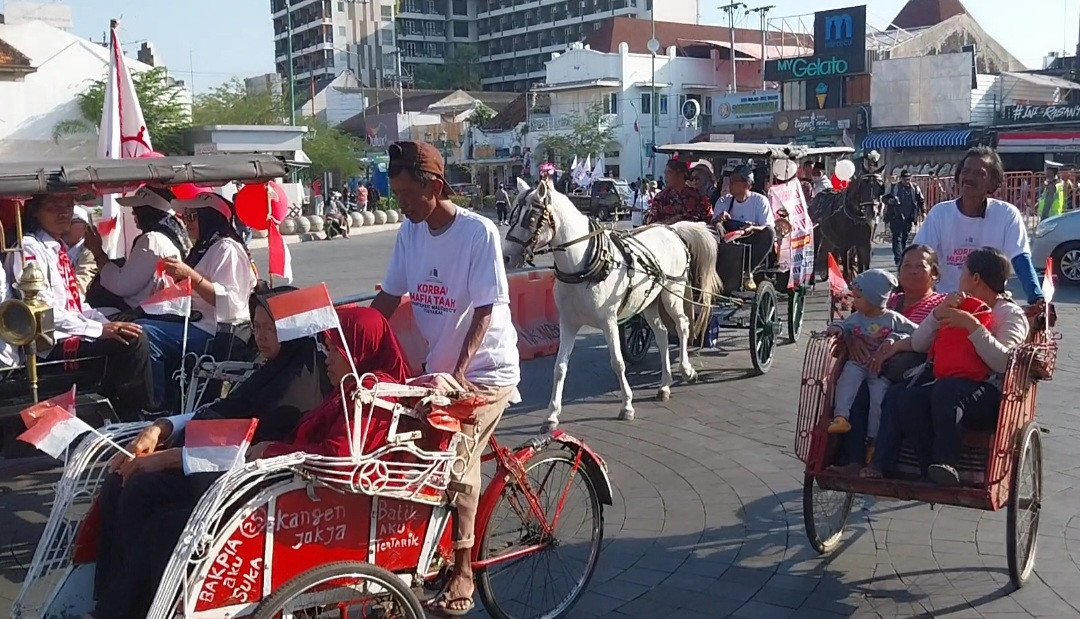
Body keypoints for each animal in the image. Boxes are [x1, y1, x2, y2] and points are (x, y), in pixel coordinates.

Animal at [503, 175, 721, 429]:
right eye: (512, 215)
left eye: (530, 218)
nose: (506, 257)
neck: (582, 265)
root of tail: (671, 229)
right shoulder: (568, 323)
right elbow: (559, 367)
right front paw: (552, 415)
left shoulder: (609, 321)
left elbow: (617, 362)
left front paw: (627, 405)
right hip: (649, 302)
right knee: (661, 333)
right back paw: (665, 384)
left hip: (672, 294)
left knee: (683, 325)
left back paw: (686, 370)